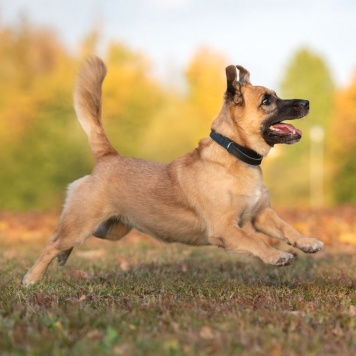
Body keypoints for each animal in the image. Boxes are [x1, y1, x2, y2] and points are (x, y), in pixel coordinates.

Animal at [21, 58, 322, 286]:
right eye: (267, 101)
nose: (307, 102)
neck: (234, 155)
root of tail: (107, 157)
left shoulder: (262, 215)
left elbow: (287, 228)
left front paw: (307, 242)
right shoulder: (226, 228)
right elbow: (256, 241)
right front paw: (275, 256)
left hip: (110, 229)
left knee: (66, 241)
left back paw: (61, 258)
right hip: (82, 223)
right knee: (53, 242)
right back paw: (32, 278)